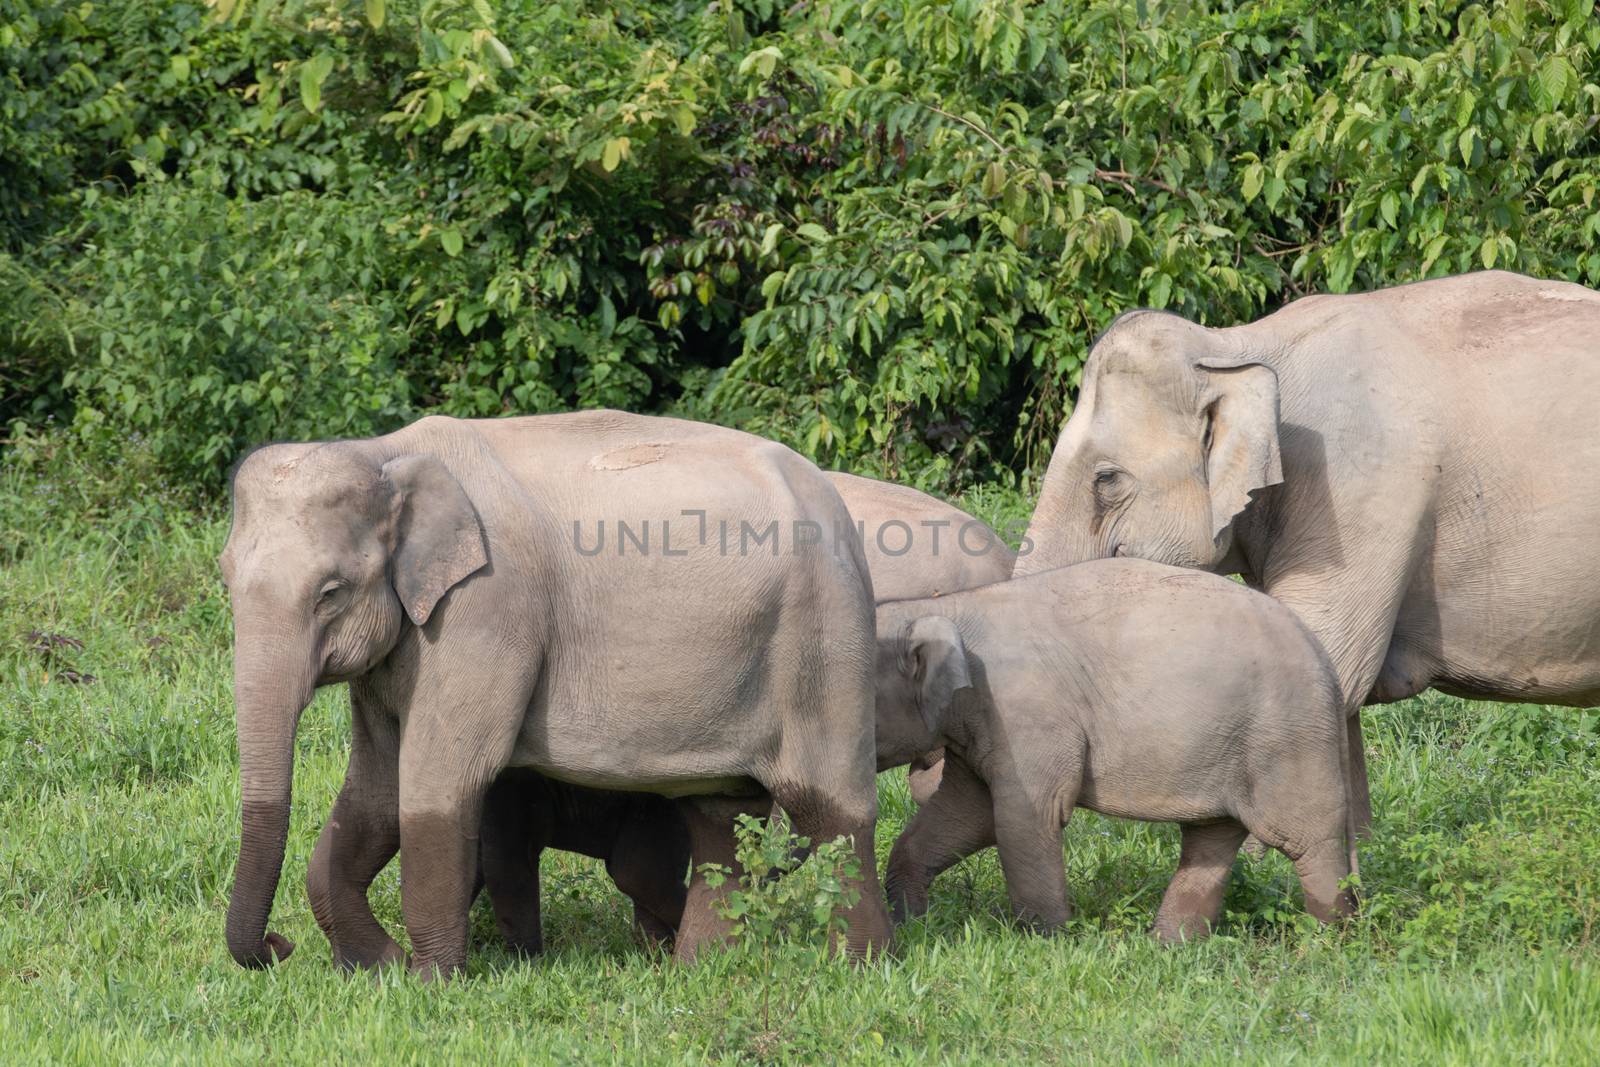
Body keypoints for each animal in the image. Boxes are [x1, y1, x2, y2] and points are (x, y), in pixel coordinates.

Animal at [214, 412, 896, 979]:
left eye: (330, 592)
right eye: (224, 576)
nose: (278, 948)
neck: (385, 451)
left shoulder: (487, 609)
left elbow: (437, 784)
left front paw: (429, 983)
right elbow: (377, 794)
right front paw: (378, 967)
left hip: (826, 639)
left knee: (831, 814)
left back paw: (858, 970)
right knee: (718, 821)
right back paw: (700, 969)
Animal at [883, 559, 1356, 940]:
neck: (948, 607)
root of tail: (1326, 664)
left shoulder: (1025, 718)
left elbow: (1025, 817)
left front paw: (1046, 942)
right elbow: (966, 815)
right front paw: (911, 919)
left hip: (1287, 740)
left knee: (1307, 839)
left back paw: (1327, 942)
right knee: (1211, 838)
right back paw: (1172, 945)